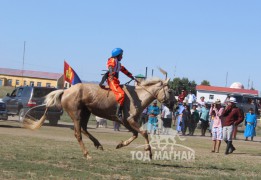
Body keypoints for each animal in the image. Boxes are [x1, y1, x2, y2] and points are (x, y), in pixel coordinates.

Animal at [23, 77, 175, 159]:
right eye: (170, 91)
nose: (174, 104)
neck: (138, 97)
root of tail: (66, 91)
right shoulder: (130, 121)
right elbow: (144, 132)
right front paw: (149, 152)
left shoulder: (126, 122)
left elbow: (136, 134)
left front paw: (120, 144)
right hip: (77, 114)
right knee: (78, 133)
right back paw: (87, 154)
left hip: (85, 113)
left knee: (84, 129)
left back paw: (98, 144)